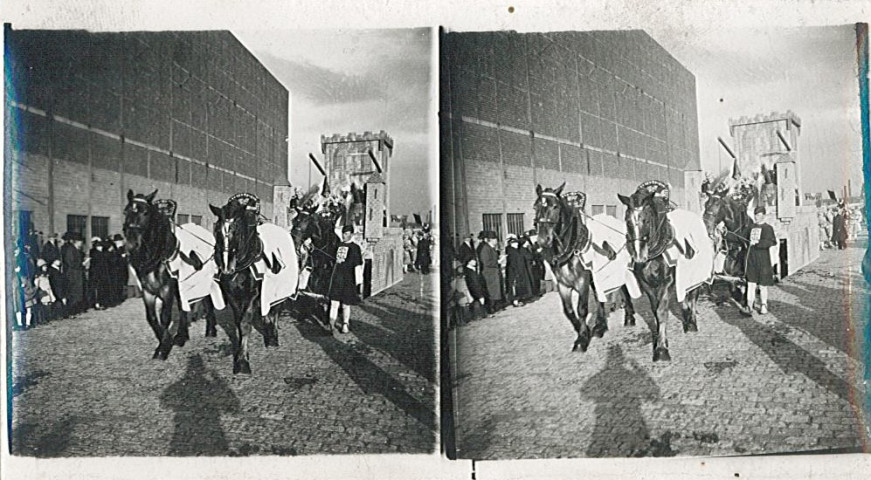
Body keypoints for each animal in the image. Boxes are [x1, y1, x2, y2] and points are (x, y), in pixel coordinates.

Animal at [122, 189, 216, 358]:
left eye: (145, 212)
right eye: (125, 211)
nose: (132, 244)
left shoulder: (167, 289)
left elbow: (165, 317)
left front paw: (163, 348)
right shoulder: (148, 291)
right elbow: (152, 318)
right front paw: (165, 341)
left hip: (204, 280)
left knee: (207, 301)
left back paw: (210, 330)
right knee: (184, 308)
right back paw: (181, 336)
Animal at [536, 182, 636, 350]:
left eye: (555, 206)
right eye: (535, 206)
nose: (543, 240)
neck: (570, 248)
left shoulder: (582, 281)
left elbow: (581, 309)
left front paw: (582, 339)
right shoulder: (563, 285)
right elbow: (569, 311)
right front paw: (583, 331)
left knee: (624, 289)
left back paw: (629, 317)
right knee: (599, 297)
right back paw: (600, 326)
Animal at [620, 186, 708, 362]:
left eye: (646, 220)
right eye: (627, 221)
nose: (639, 256)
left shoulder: (665, 282)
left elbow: (661, 312)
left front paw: (661, 350)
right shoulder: (647, 284)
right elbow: (655, 311)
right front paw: (661, 341)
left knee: (693, 296)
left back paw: (692, 322)